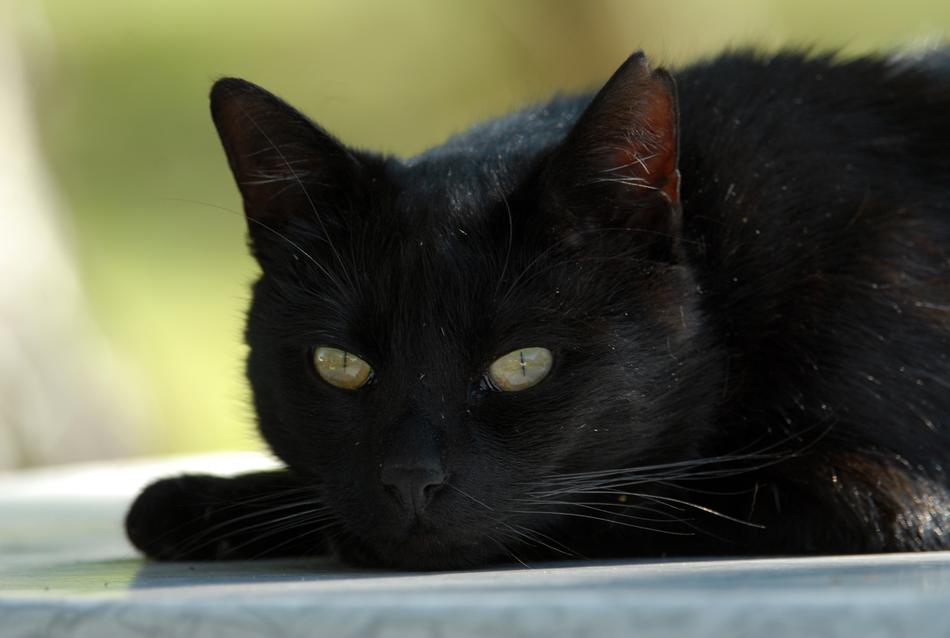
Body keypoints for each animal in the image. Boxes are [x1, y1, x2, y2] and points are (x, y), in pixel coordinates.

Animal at [124, 50, 950, 568]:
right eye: (339, 366)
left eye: (524, 364)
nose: (411, 479)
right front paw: (203, 503)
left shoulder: (884, 490)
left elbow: (636, 494)